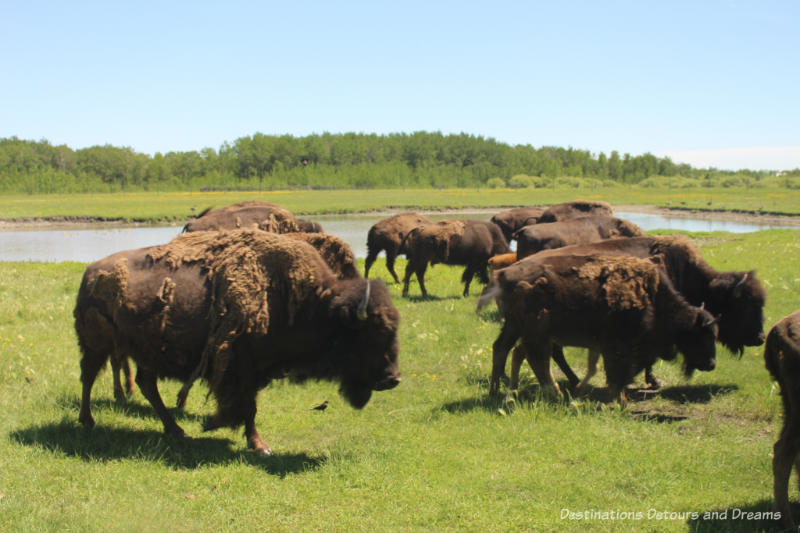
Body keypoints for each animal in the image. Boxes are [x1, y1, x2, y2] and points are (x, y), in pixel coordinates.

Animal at [75, 229, 400, 454]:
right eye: (372, 333)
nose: (393, 379)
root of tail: (90, 272)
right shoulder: (242, 367)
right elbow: (246, 407)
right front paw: (257, 445)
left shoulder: (253, 371)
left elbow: (246, 406)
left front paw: (220, 427)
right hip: (97, 345)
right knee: (89, 377)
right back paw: (88, 421)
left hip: (148, 352)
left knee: (146, 384)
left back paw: (176, 430)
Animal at [488, 252, 720, 400]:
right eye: (703, 334)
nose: (711, 364)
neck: (654, 298)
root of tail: (504, 274)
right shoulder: (618, 346)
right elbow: (618, 371)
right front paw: (618, 398)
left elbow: (602, 368)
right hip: (536, 331)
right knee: (537, 359)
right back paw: (554, 392)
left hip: (515, 327)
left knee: (504, 349)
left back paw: (497, 391)